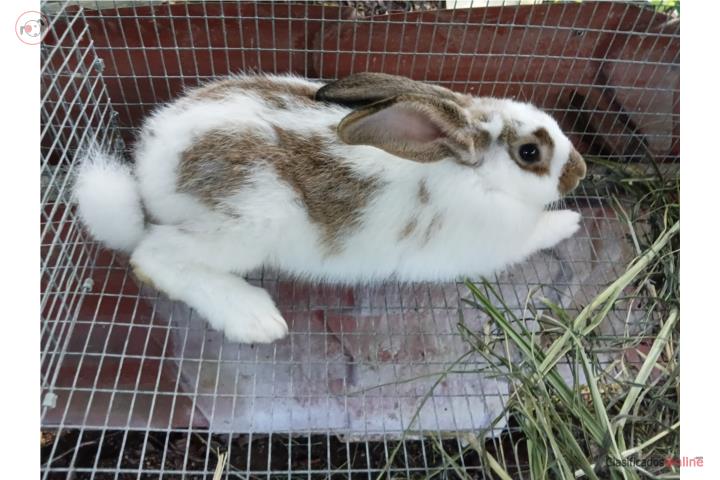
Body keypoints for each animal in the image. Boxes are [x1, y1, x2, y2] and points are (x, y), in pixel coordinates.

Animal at [74, 72, 587, 344]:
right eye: (530, 153)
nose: (580, 172)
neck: (472, 173)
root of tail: (149, 172)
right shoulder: (493, 244)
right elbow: (539, 232)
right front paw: (571, 220)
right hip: (248, 224)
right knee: (153, 257)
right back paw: (255, 318)